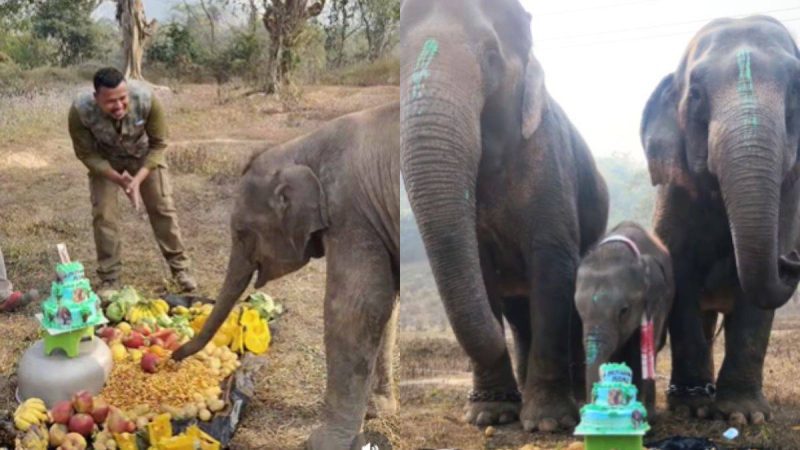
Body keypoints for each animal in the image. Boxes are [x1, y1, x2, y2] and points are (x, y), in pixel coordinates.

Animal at [171, 101, 400, 450]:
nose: (171, 357)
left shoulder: (350, 211)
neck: (300, 147)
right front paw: (378, 411)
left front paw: (322, 443)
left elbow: (356, 307)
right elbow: (387, 304)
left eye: (241, 233)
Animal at [400, 0, 609, 431]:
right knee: (518, 315)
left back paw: (576, 398)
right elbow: (481, 274)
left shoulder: (549, 162)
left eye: (492, 57)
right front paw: (489, 414)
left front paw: (547, 423)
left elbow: (553, 268)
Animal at [640, 15, 800, 424]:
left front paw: (745, 415)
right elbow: (680, 274)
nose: (791, 259)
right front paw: (692, 408)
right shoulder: (674, 193)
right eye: (696, 94)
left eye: (796, 90)